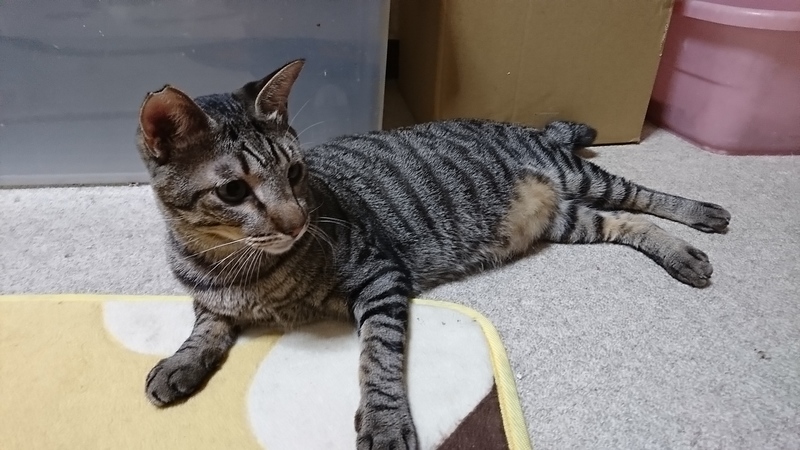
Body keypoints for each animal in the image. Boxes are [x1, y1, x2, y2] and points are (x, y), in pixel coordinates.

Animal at [136, 59, 730, 449]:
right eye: (235, 191)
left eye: (297, 172)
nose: (296, 220)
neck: (239, 267)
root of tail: (529, 129)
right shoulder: (208, 299)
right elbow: (205, 328)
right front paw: (181, 362)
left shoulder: (380, 277)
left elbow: (377, 357)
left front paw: (384, 423)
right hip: (567, 218)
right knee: (628, 222)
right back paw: (680, 253)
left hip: (581, 178)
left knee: (644, 197)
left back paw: (700, 219)